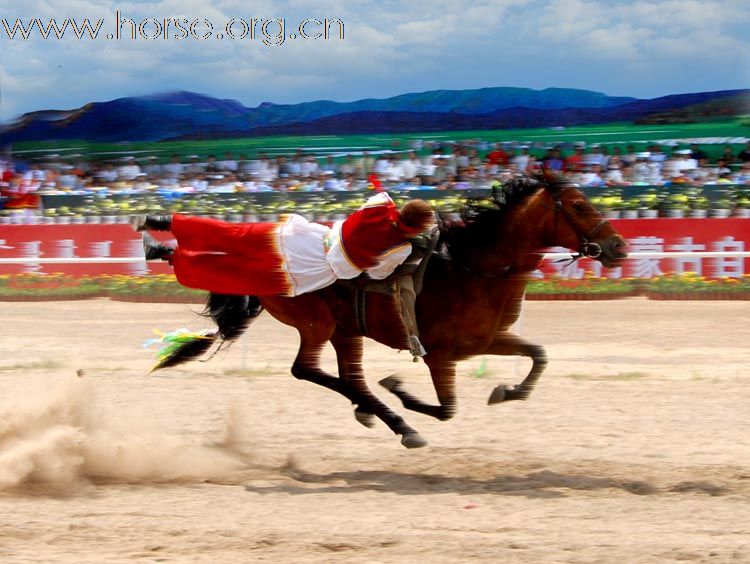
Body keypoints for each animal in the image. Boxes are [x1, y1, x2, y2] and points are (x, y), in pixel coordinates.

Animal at [178, 174, 628, 448]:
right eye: (578, 204)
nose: (618, 246)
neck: (470, 266)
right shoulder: (440, 354)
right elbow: (446, 409)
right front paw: (399, 390)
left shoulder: (488, 339)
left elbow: (538, 355)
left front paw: (509, 390)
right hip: (316, 322)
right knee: (307, 370)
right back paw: (398, 422)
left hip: (345, 329)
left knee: (348, 377)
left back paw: (371, 409)